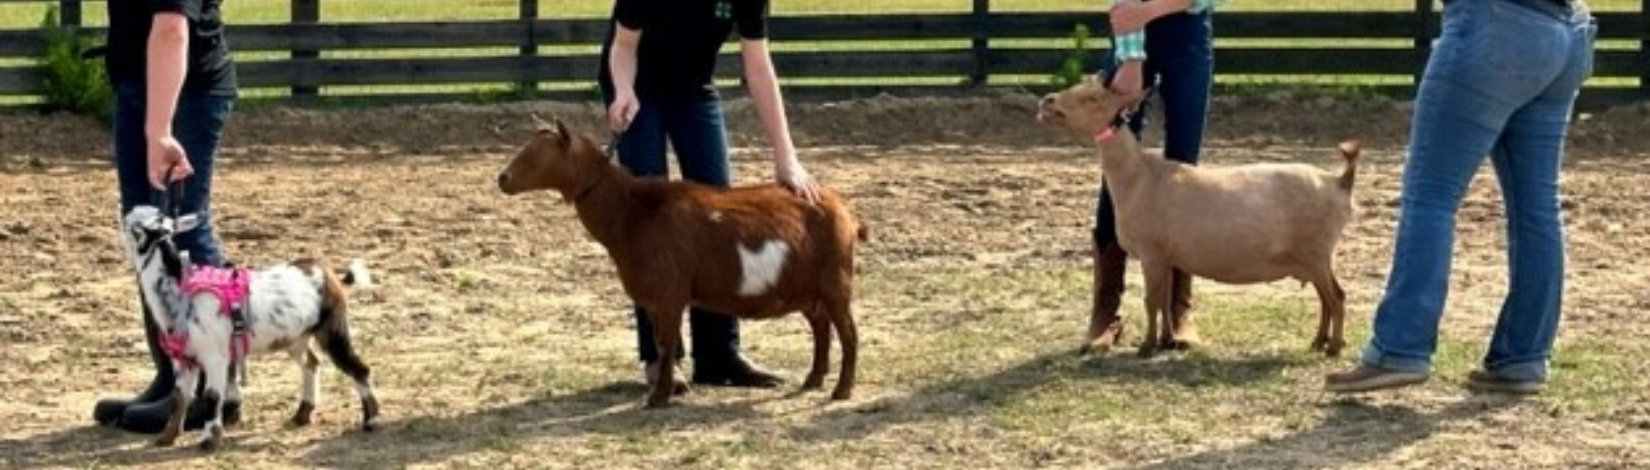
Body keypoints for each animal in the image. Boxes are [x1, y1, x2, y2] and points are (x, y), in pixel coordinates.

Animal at [118, 206, 380, 450]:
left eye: (133, 226)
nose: (121, 216)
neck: (180, 288)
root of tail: (324, 271)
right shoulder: (185, 359)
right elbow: (179, 397)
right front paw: (167, 437)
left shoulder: (215, 356)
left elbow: (212, 396)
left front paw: (209, 440)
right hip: (295, 337)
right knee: (311, 363)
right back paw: (302, 415)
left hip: (332, 329)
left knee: (359, 369)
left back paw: (371, 420)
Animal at [495, 116, 869, 408]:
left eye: (537, 155)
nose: (502, 179)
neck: (629, 212)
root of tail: (844, 209)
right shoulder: (653, 298)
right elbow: (662, 344)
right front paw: (666, 390)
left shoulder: (669, 293)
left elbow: (667, 343)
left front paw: (658, 398)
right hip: (806, 288)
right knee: (821, 327)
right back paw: (812, 380)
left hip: (835, 279)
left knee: (848, 332)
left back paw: (841, 391)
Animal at [1035, 77, 1359, 358]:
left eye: (1093, 98)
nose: (1048, 100)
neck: (1139, 176)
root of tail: (1339, 182)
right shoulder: (1166, 256)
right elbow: (1163, 300)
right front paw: (1166, 340)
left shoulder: (1151, 251)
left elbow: (1151, 301)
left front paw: (1147, 346)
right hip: (1313, 257)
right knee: (1327, 298)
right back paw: (1318, 342)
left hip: (1315, 251)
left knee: (1336, 297)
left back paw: (1333, 347)